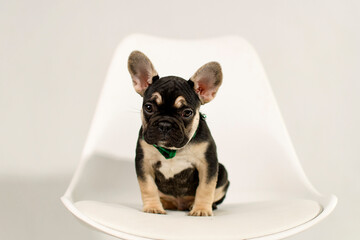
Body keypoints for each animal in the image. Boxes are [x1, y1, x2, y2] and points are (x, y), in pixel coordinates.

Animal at [129, 50, 231, 216]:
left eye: (187, 112)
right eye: (149, 107)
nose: (165, 124)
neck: (172, 150)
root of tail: (179, 205)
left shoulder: (207, 163)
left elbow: (205, 188)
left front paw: (201, 209)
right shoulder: (144, 162)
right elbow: (148, 187)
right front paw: (153, 207)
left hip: (222, 172)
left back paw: (194, 205)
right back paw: (164, 203)